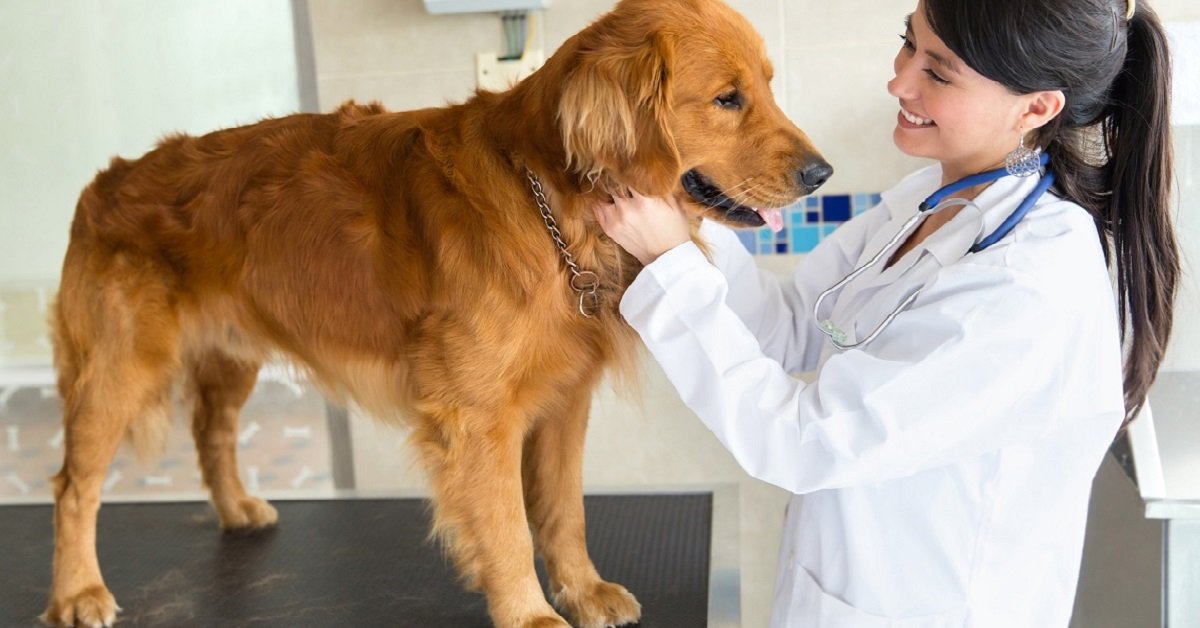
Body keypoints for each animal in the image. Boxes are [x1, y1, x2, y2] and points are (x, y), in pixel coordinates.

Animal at [49, 0, 835, 624]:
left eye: (767, 87)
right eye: (728, 98)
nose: (822, 173)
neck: (550, 203)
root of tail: (104, 182)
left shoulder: (563, 402)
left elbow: (564, 511)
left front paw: (581, 590)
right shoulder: (477, 416)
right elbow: (508, 526)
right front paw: (530, 613)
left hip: (229, 356)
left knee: (211, 432)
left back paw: (237, 508)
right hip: (118, 369)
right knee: (74, 487)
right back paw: (78, 591)